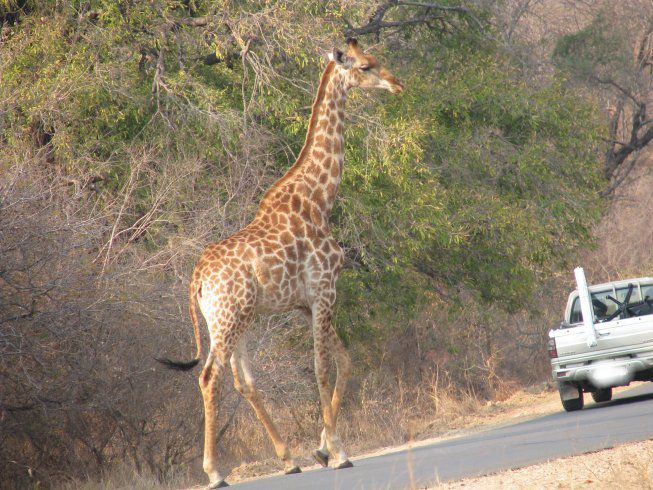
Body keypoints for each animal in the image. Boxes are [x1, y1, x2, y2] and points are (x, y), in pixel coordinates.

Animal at [158, 39, 402, 490]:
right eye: (366, 66)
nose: (397, 84)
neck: (320, 198)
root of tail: (197, 278)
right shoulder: (324, 290)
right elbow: (321, 368)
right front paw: (339, 453)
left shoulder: (308, 302)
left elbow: (344, 360)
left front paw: (321, 448)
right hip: (229, 319)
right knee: (211, 377)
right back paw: (215, 472)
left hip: (236, 320)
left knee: (241, 380)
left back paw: (287, 460)